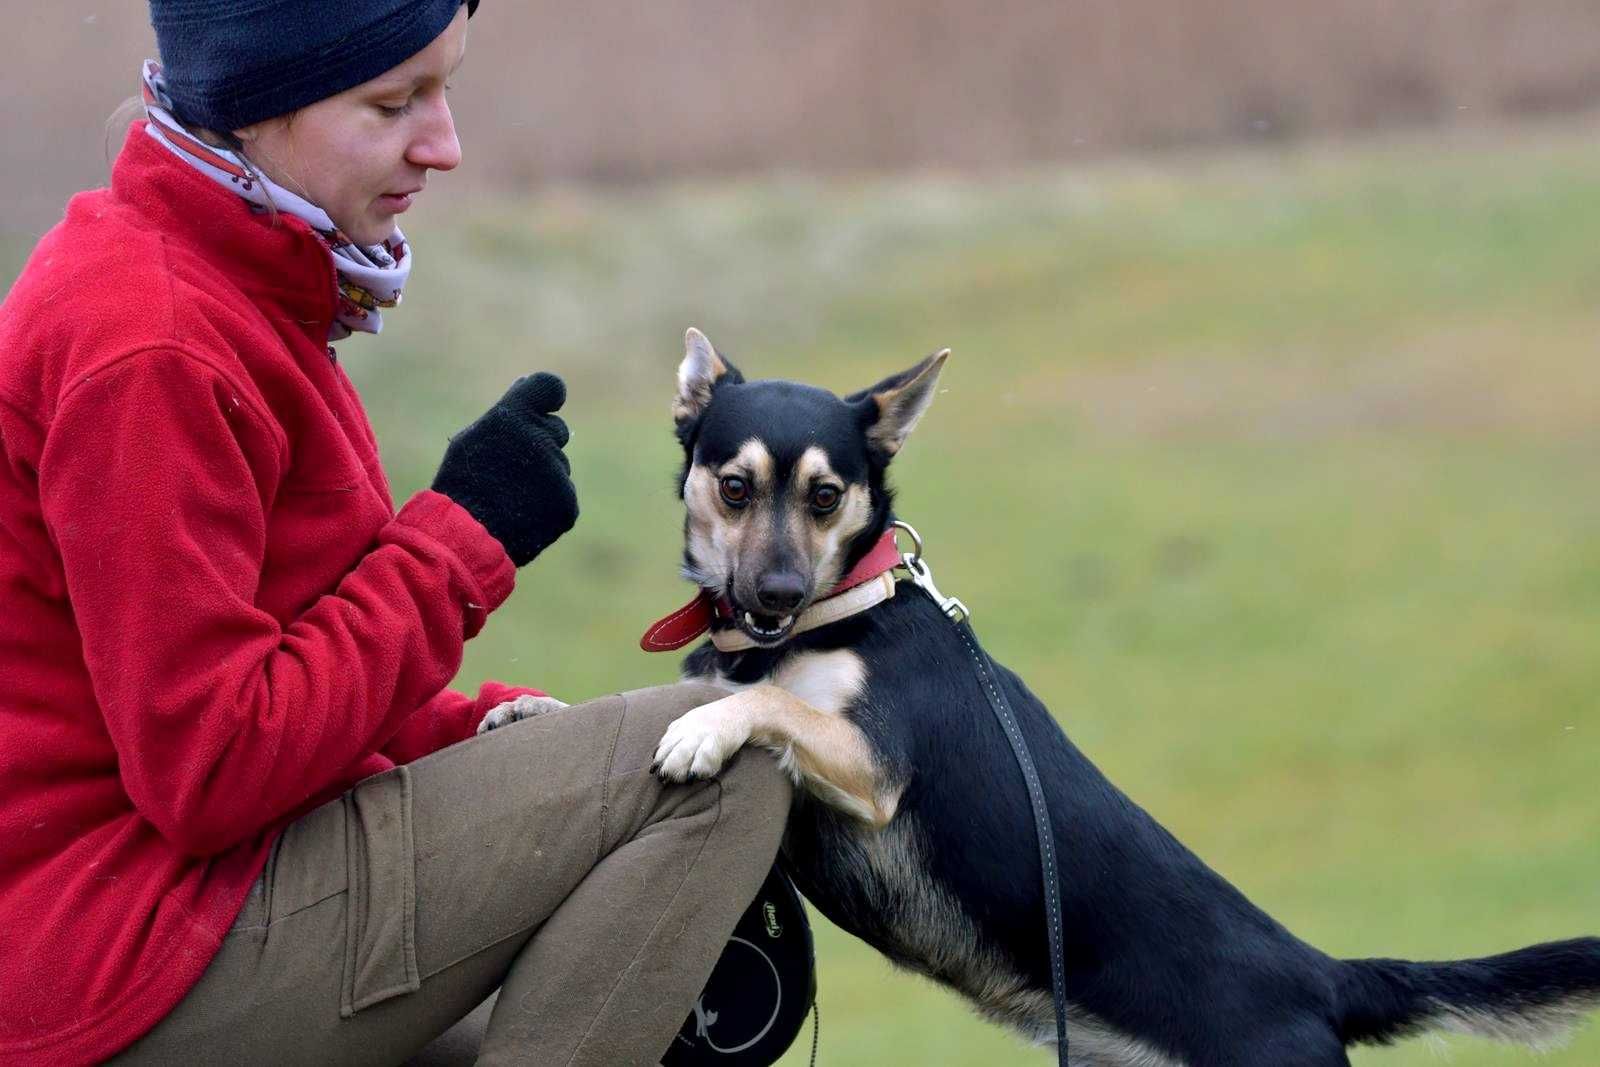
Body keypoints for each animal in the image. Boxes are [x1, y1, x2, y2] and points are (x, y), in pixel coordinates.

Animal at [640, 327, 1600, 1067]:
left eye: (826, 495)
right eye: (734, 487)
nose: (775, 593)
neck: (835, 613)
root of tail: (1320, 977)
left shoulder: (873, 768)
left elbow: (773, 707)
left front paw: (704, 731)